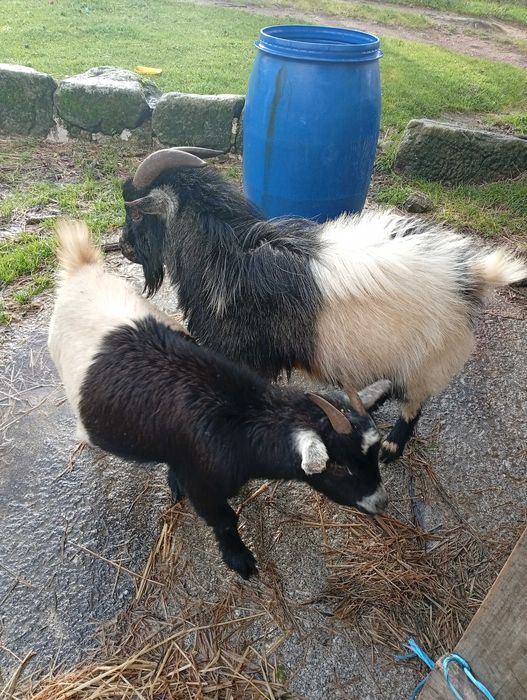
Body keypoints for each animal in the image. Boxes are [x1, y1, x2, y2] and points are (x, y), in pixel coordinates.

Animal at [48, 220, 387, 579]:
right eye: (338, 465)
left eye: (374, 453)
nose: (381, 502)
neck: (235, 417)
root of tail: (81, 268)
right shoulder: (205, 487)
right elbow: (225, 521)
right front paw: (239, 559)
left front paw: (174, 481)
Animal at [120, 147, 527, 463]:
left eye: (136, 212)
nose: (123, 246)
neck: (226, 255)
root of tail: (471, 274)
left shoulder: (240, 353)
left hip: (427, 361)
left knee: (414, 405)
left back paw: (390, 448)